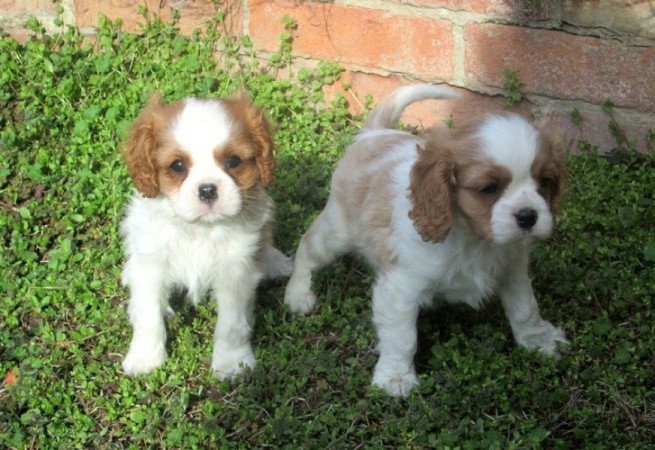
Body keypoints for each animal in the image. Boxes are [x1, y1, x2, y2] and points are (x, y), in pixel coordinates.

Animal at [120, 94, 292, 380]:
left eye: (233, 161)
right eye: (177, 166)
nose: (208, 190)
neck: (200, 228)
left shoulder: (235, 271)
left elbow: (232, 325)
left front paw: (232, 364)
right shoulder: (151, 265)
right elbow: (148, 315)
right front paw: (146, 358)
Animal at [286, 84, 568, 398]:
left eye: (544, 182)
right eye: (489, 188)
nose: (529, 216)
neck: (475, 239)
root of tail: (374, 134)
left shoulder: (513, 270)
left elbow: (526, 308)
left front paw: (540, 340)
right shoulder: (401, 287)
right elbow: (402, 337)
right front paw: (395, 377)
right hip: (337, 232)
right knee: (306, 248)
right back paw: (297, 294)